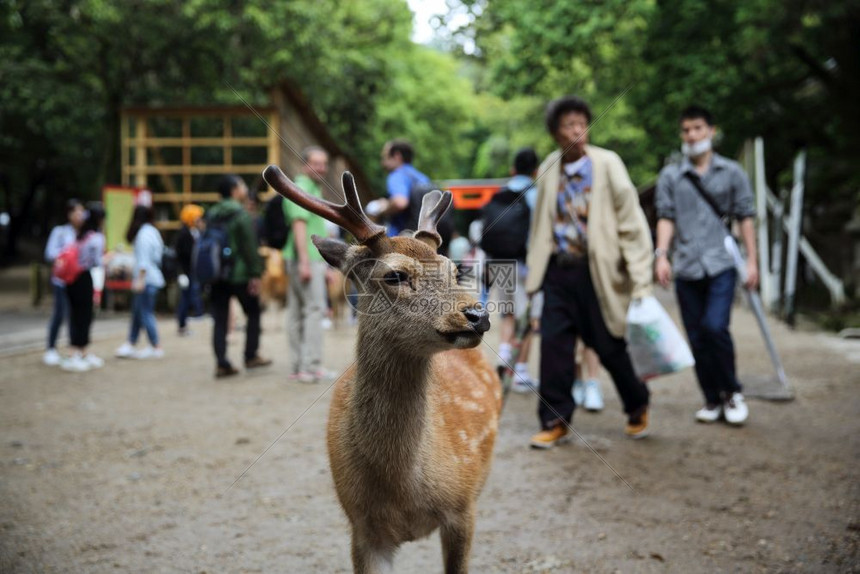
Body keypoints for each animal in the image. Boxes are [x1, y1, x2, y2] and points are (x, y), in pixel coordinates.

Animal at [264, 166, 504, 574]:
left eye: (452, 269)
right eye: (394, 276)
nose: (477, 315)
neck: (403, 490)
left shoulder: (464, 505)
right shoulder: (362, 528)